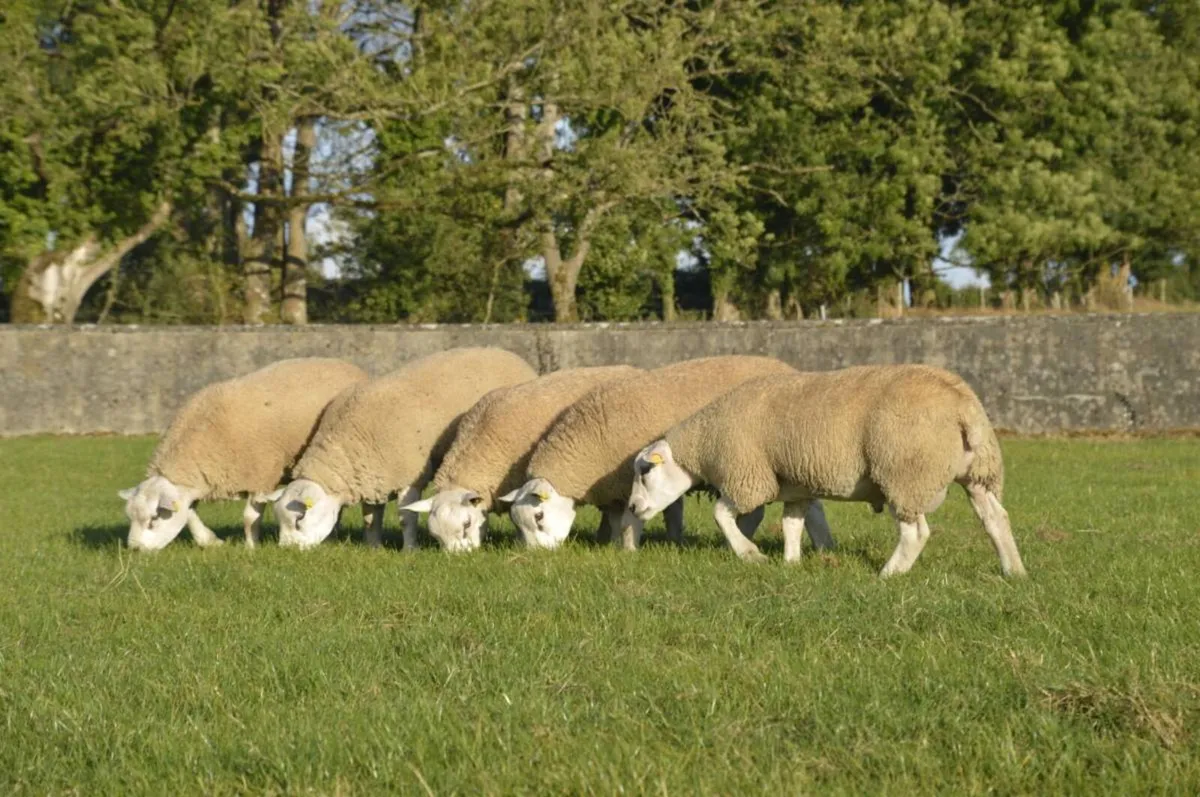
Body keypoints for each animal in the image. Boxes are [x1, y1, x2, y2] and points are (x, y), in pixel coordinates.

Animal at [117, 357, 370, 551]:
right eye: (130, 517)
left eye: (154, 518)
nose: (135, 549)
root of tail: (351, 367)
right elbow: (189, 514)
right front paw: (210, 541)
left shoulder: (262, 475)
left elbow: (250, 517)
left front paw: (251, 547)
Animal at [269, 347, 538, 550]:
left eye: (299, 519)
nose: (288, 550)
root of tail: (506, 353)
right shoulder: (371, 477)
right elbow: (371, 519)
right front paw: (373, 547)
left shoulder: (409, 478)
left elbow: (406, 518)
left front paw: (410, 549)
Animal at [497, 355, 836, 553]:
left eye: (539, 516)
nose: (538, 556)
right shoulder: (620, 487)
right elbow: (637, 516)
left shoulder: (630, 480)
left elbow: (631, 518)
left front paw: (628, 550)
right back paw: (822, 547)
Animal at [626, 364, 1027, 577]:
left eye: (645, 471)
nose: (632, 507)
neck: (704, 442)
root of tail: (964, 406)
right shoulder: (795, 486)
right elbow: (792, 524)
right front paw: (790, 562)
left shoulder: (748, 478)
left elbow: (721, 514)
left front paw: (750, 554)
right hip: (979, 473)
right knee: (995, 518)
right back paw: (1014, 570)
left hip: (905, 472)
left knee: (916, 533)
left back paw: (889, 573)